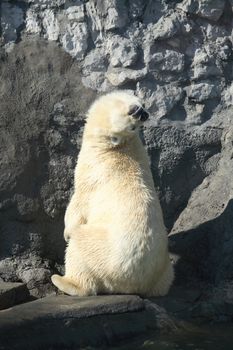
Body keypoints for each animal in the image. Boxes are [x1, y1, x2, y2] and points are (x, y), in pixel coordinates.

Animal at [52, 90, 174, 296]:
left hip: (101, 251)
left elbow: (79, 203)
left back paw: (63, 281)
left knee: (79, 248)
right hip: (163, 270)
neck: (113, 147)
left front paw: (66, 233)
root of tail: (134, 284)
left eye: (133, 126)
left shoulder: (93, 172)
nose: (143, 113)